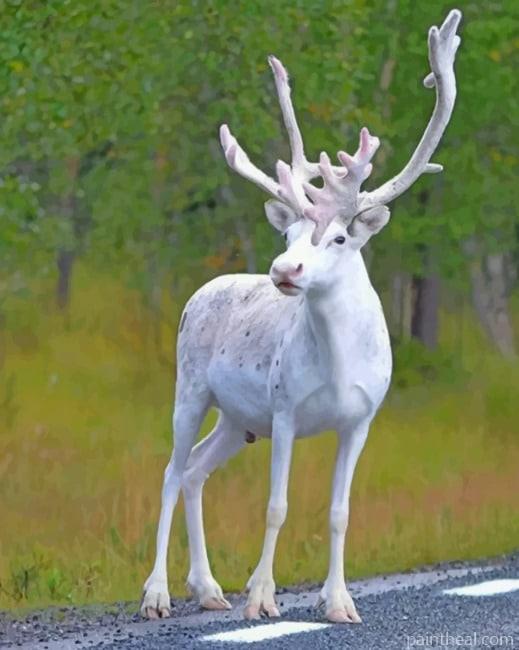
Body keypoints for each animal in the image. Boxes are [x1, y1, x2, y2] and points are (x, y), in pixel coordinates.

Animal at [141, 9, 462, 624]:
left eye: (338, 237)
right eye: (287, 233)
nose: (283, 269)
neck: (337, 364)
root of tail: (199, 291)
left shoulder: (360, 420)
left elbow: (340, 512)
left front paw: (338, 601)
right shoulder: (286, 409)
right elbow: (276, 505)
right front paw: (262, 597)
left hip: (237, 420)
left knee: (194, 470)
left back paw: (208, 587)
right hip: (190, 388)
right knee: (169, 471)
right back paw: (157, 594)